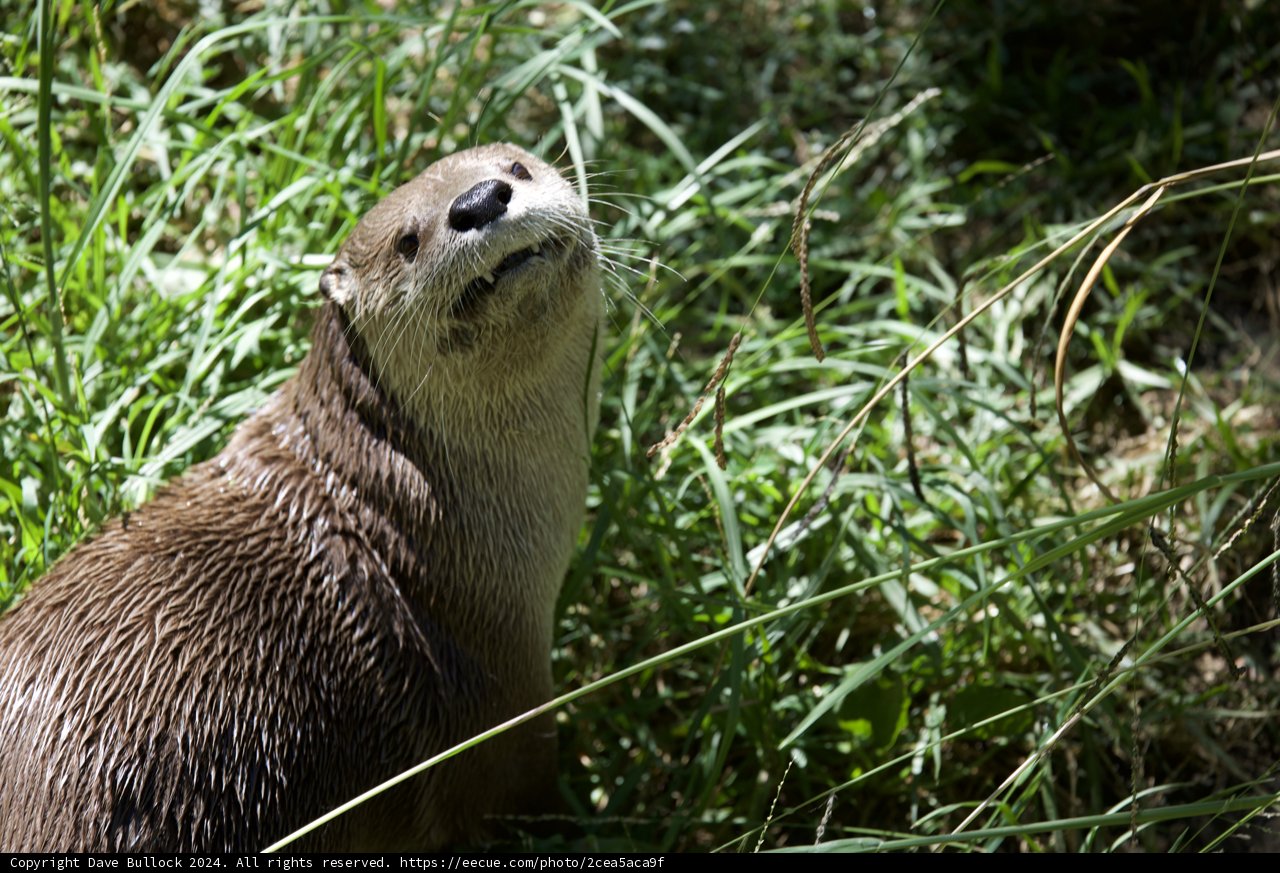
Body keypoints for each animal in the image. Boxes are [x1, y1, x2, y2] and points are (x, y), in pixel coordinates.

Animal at [0, 143, 602, 852]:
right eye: (408, 241)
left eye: (516, 169)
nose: (479, 200)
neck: (408, 520)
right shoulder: (506, 702)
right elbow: (524, 788)